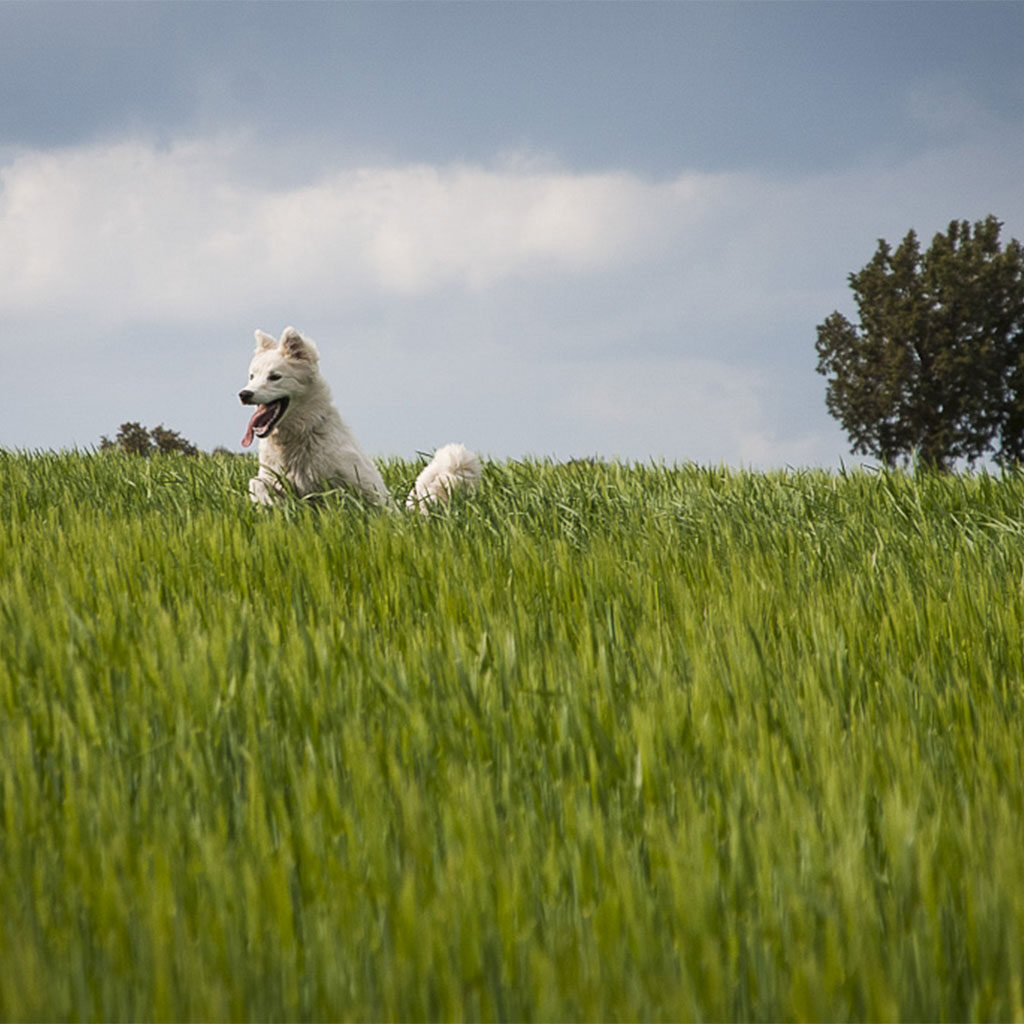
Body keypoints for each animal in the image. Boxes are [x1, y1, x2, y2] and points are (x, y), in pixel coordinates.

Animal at [238, 325, 479, 509]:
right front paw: (267, 504)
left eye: (275, 377)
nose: (244, 394)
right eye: (252, 376)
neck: (300, 435)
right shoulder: (274, 477)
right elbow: (255, 483)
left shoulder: (351, 479)